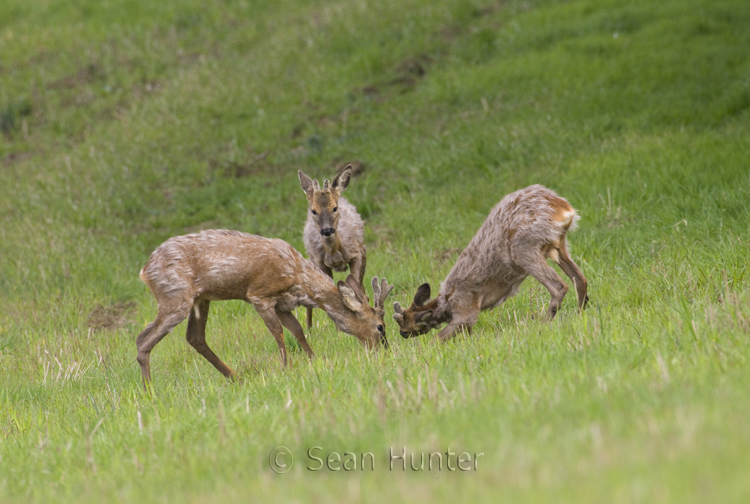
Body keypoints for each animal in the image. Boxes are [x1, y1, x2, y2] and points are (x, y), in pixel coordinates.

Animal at [137, 229, 394, 386]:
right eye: (380, 326)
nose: (384, 350)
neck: (297, 275)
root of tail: (145, 271)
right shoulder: (258, 294)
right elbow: (277, 332)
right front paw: (286, 368)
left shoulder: (282, 303)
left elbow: (297, 330)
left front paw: (314, 359)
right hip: (175, 295)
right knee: (143, 339)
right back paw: (150, 393)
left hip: (200, 299)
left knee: (194, 337)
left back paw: (236, 378)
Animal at [302, 165, 368, 328]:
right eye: (314, 211)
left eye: (334, 208)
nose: (327, 230)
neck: (335, 253)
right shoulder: (320, 262)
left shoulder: (358, 253)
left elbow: (357, 289)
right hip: (310, 259)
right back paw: (309, 329)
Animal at [390, 183, 592, 340]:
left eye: (405, 322)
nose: (402, 334)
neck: (447, 303)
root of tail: (564, 208)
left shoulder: (467, 310)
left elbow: (438, 338)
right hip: (558, 246)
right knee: (580, 279)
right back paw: (580, 314)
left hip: (525, 249)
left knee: (559, 286)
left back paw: (543, 323)